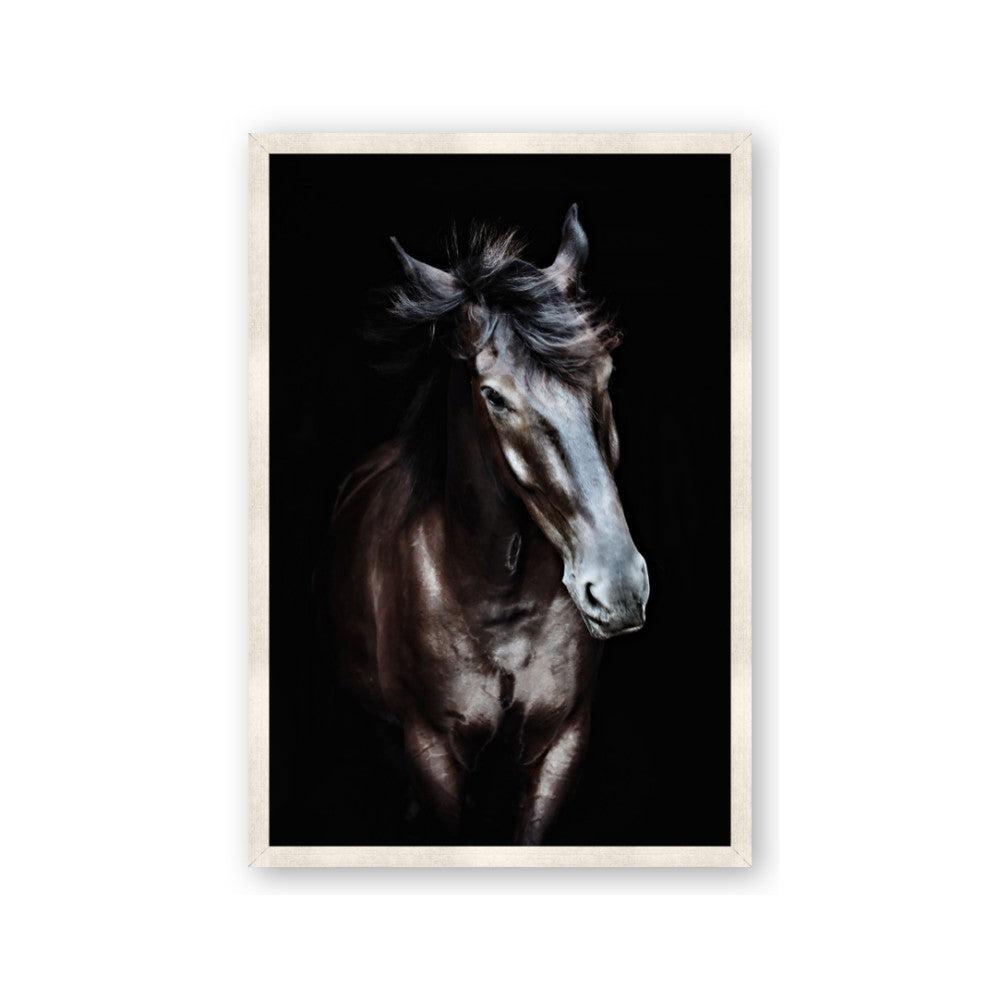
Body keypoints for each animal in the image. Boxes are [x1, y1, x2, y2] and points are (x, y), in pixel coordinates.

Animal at [318, 205, 649, 845]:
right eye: (494, 396)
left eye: (605, 371)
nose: (618, 588)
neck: (499, 602)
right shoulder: (433, 753)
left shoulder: (559, 746)